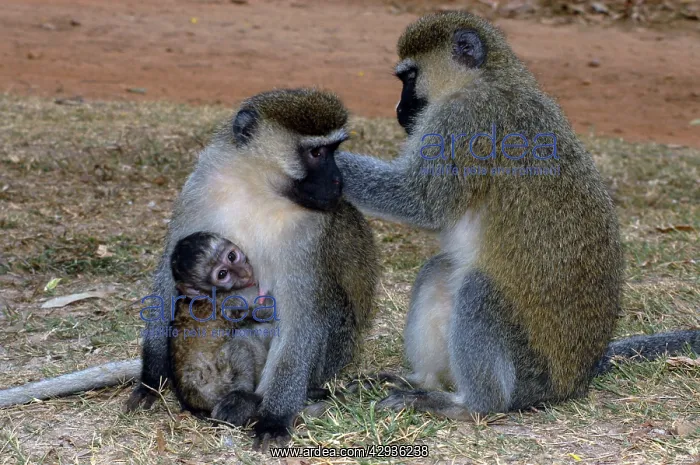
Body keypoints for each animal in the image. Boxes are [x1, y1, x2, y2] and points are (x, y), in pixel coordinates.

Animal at [167, 231, 276, 423]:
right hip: (224, 382)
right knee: (244, 335)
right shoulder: (237, 295)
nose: (243, 272)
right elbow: (269, 310)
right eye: (223, 274)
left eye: (231, 257)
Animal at [334, 11, 700, 419]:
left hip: (529, 373)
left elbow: (420, 202)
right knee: (440, 270)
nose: (399, 110)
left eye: (409, 77)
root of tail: (579, 375)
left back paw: (472, 405)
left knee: (477, 289)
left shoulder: (463, 121)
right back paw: (421, 382)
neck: (489, 78)